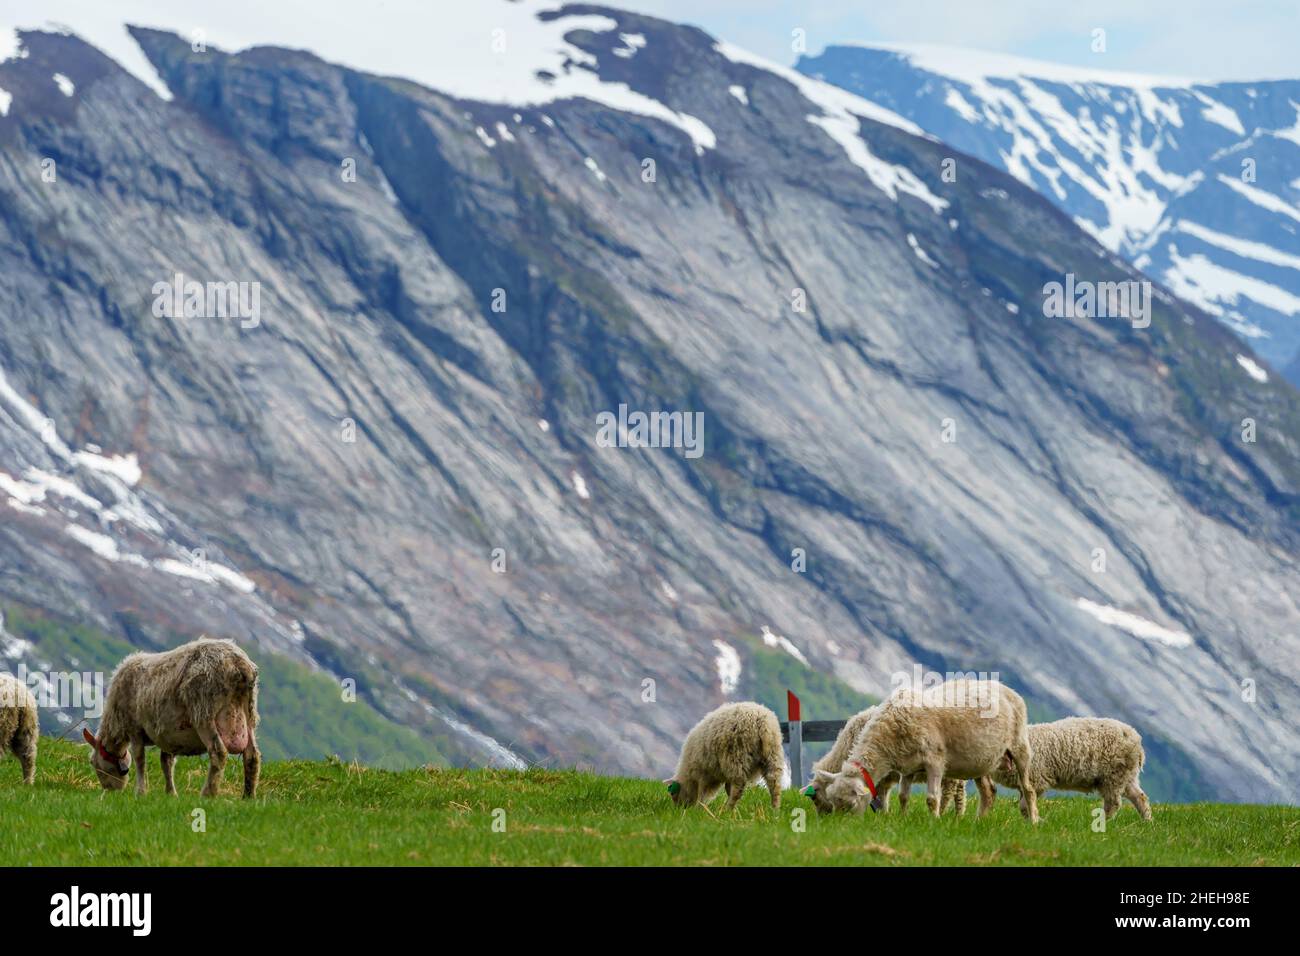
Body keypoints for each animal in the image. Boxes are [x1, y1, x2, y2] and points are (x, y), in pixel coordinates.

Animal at [83, 634, 261, 801]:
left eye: (93, 763)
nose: (109, 791)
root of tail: (238, 664)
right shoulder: (168, 734)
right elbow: (166, 762)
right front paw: (171, 793)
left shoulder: (135, 728)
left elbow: (140, 759)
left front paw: (140, 792)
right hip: (248, 713)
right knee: (252, 755)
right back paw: (248, 796)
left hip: (204, 711)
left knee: (218, 752)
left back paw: (208, 794)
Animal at [795, 702, 972, 816]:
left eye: (815, 798)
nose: (824, 819)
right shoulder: (884, 777)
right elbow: (882, 795)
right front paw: (884, 815)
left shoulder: (882, 774)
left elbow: (879, 795)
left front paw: (881, 814)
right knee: (962, 792)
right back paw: (960, 816)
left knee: (950, 792)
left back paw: (947, 813)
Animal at [987, 717, 1154, 822]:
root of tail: (1136, 739)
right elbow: (1024, 805)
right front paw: (1033, 820)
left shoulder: (1037, 780)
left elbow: (1024, 805)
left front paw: (1037, 820)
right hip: (1127, 776)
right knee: (1140, 797)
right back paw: (1148, 822)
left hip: (1113, 776)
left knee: (1113, 803)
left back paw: (1101, 821)